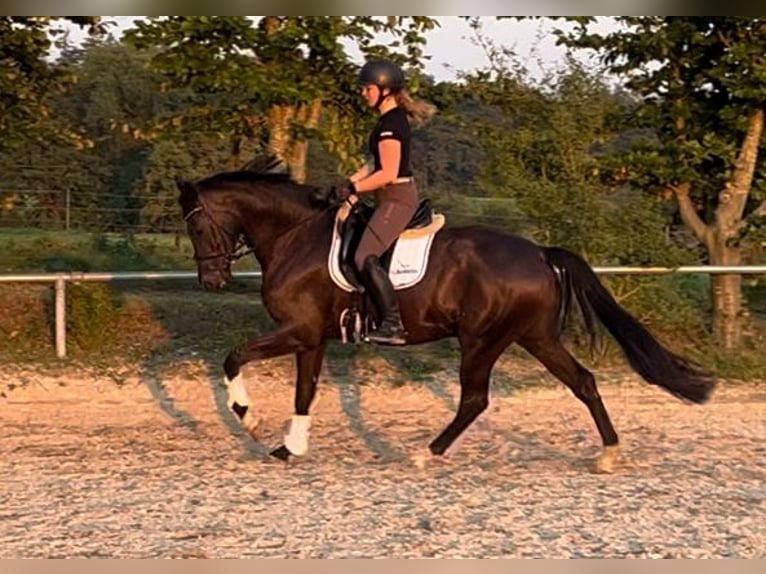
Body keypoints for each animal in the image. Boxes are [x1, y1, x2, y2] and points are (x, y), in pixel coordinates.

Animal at [177, 170, 716, 472]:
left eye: (197, 224)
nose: (211, 280)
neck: (297, 235)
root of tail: (540, 253)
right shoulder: (312, 337)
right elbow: (304, 393)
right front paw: (290, 449)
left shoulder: (298, 331)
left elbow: (234, 357)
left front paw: (249, 418)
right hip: (534, 336)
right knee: (582, 381)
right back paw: (608, 454)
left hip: (482, 339)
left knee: (475, 399)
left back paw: (426, 454)